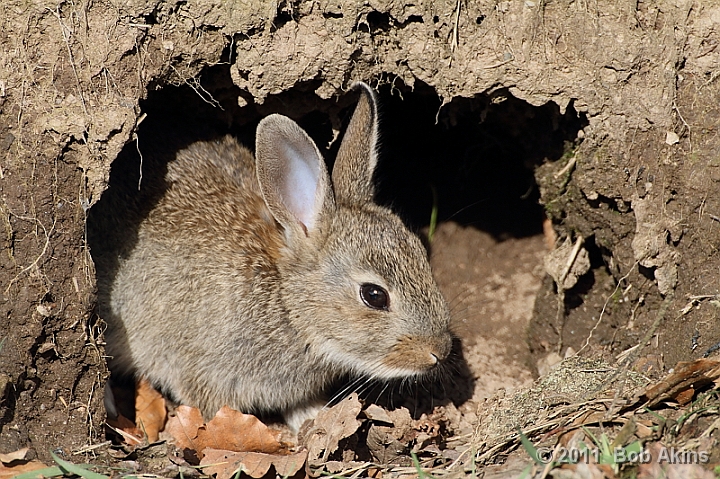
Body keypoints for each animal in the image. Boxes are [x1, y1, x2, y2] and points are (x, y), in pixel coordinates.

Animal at [98, 80, 452, 430]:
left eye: (421, 252)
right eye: (374, 295)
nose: (439, 351)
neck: (288, 305)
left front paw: (311, 419)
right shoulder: (202, 371)